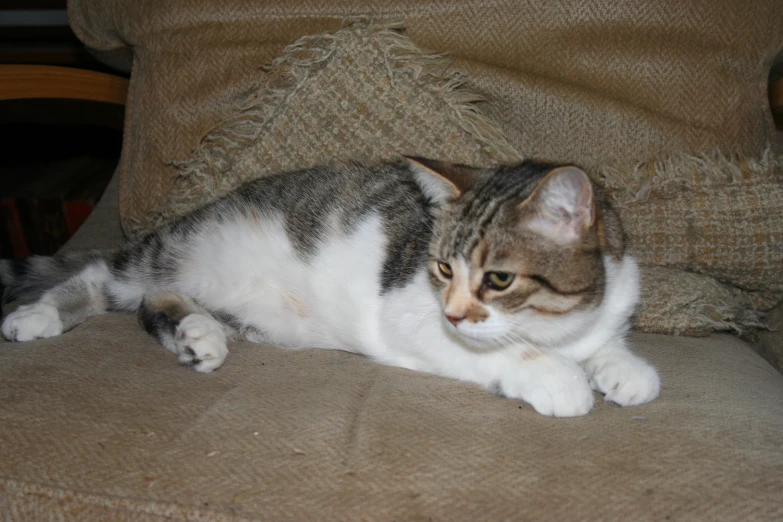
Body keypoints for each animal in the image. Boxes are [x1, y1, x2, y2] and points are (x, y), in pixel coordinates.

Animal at [1, 156, 660, 416]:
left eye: (498, 278)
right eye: (443, 269)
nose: (454, 312)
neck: (555, 323)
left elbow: (605, 342)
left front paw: (621, 367)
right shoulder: (410, 316)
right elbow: (501, 350)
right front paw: (558, 377)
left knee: (148, 303)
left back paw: (198, 333)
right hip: (176, 250)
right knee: (105, 278)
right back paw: (39, 316)